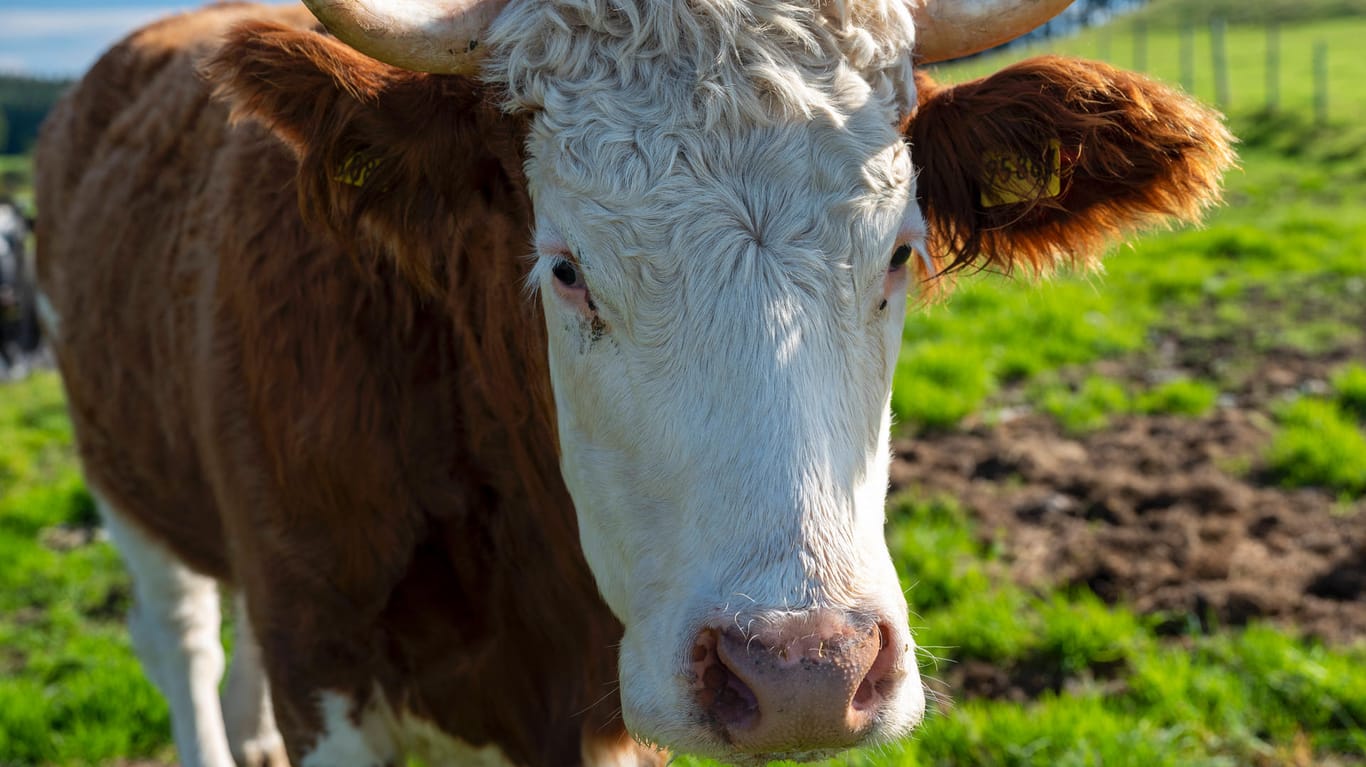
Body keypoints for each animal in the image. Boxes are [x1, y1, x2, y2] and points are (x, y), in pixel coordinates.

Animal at [32, 0, 1234, 760]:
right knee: (180, 638)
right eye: (565, 268)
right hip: (125, 484)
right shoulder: (322, 655)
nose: (803, 671)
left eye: (900, 252)